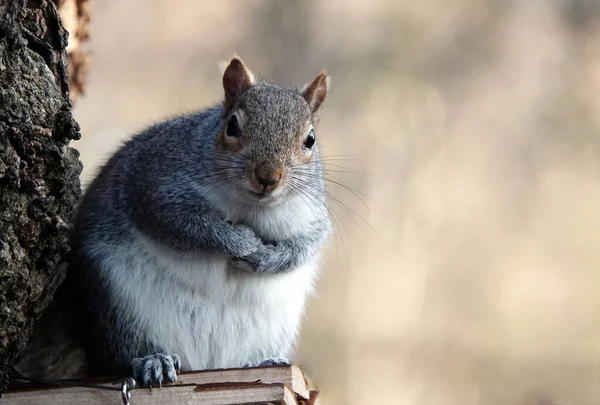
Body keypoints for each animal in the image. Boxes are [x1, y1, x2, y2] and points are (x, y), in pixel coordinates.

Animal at [16, 56, 332, 386]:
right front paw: (241, 242)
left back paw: (264, 361)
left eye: (310, 139)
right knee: (119, 356)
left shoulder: (313, 216)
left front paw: (266, 258)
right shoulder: (156, 184)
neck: (250, 205)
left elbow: (306, 246)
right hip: (120, 307)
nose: (268, 177)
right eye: (232, 125)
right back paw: (152, 361)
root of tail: (205, 364)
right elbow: (185, 225)